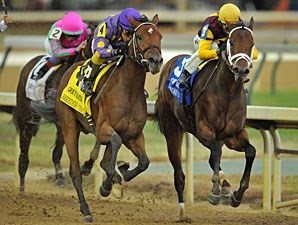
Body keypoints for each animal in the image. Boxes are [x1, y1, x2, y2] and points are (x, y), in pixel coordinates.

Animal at [56, 14, 163, 222]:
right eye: (140, 37)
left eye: (160, 36)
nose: (155, 60)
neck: (129, 90)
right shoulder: (103, 129)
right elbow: (114, 144)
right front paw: (111, 180)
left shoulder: (133, 135)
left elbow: (144, 162)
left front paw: (119, 175)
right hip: (69, 127)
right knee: (75, 171)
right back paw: (86, 210)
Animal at [152, 18, 258, 222]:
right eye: (232, 42)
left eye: (252, 44)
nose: (241, 70)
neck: (227, 91)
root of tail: (170, 63)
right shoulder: (203, 131)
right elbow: (216, 152)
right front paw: (215, 193)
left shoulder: (233, 135)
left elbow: (250, 152)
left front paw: (237, 195)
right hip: (172, 129)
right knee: (180, 173)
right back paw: (182, 213)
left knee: (213, 158)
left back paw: (226, 187)